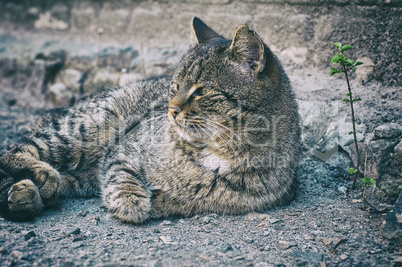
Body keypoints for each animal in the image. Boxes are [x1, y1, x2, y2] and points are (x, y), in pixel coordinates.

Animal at [0, 17, 300, 224]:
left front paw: (160, 199)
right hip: (87, 129)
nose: (171, 109)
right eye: (175, 86)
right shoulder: (123, 150)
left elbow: (181, 201)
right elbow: (123, 179)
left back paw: (27, 195)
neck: (218, 153)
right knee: (16, 151)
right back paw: (40, 178)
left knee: (63, 180)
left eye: (202, 90)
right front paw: (133, 202)